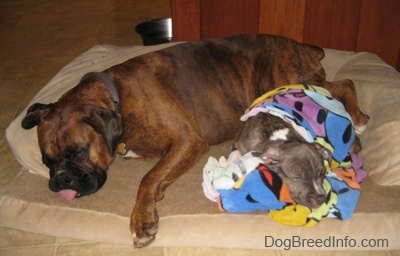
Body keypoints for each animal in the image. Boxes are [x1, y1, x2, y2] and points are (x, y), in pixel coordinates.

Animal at [20, 34, 368, 248]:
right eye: (47, 161)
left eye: (77, 151)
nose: (60, 180)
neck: (116, 98)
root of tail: (300, 44)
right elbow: (156, 176)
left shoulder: (188, 141)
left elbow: (148, 178)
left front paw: (142, 219)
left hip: (287, 80)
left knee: (345, 83)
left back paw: (359, 120)